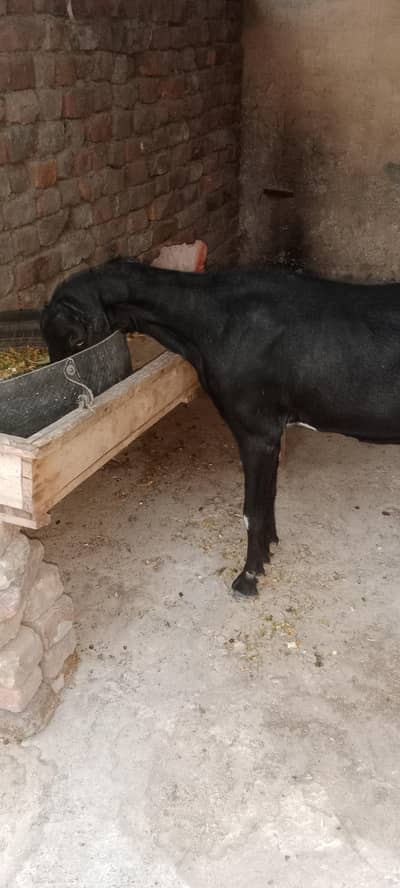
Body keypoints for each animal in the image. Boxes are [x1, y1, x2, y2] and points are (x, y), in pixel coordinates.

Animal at [41, 258, 400, 597]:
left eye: (75, 339)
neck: (214, 321)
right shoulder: (272, 433)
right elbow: (268, 497)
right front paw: (269, 548)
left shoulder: (256, 431)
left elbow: (252, 511)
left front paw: (248, 578)